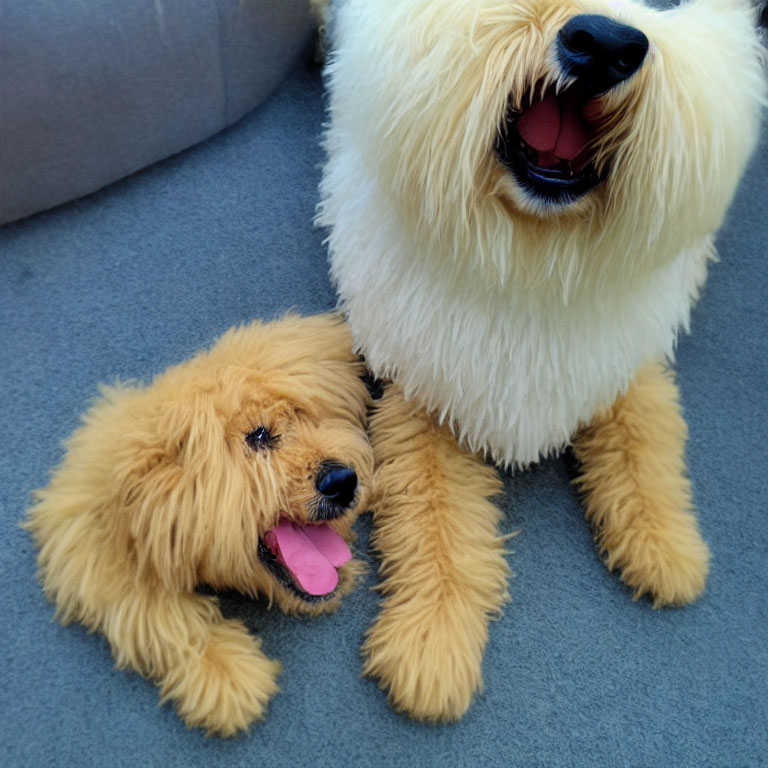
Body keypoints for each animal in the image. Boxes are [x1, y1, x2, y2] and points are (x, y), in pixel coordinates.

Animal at [24, 316, 372, 736]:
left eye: (308, 416)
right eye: (258, 436)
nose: (344, 481)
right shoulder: (87, 536)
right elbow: (161, 617)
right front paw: (226, 672)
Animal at [316, 0, 764, 720]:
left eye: (668, 5)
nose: (604, 43)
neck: (535, 259)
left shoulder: (623, 359)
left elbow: (646, 447)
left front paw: (665, 544)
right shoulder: (425, 391)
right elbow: (435, 527)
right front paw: (432, 641)